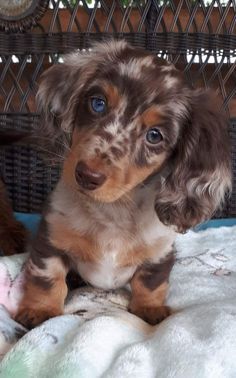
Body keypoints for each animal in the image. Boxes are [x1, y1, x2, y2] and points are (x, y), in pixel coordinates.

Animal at [15, 40, 231, 328]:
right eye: (98, 104)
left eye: (154, 136)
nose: (86, 175)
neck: (113, 212)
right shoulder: (50, 239)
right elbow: (47, 278)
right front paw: (40, 310)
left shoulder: (161, 253)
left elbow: (150, 282)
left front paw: (150, 308)